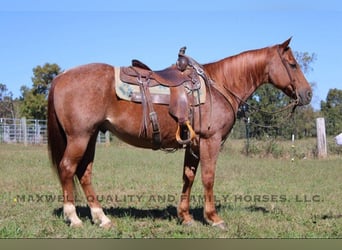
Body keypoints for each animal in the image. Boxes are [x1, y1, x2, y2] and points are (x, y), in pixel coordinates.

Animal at [48, 38, 312, 229]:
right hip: (80, 137)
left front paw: (185, 217)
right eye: (292, 64)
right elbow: (208, 178)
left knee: (84, 173)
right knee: (68, 169)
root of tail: (61, 77)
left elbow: (189, 177)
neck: (220, 85)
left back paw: (101, 218)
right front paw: (214, 218)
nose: (308, 94)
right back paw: (74, 218)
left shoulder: (193, 144)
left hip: (91, 136)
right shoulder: (210, 141)